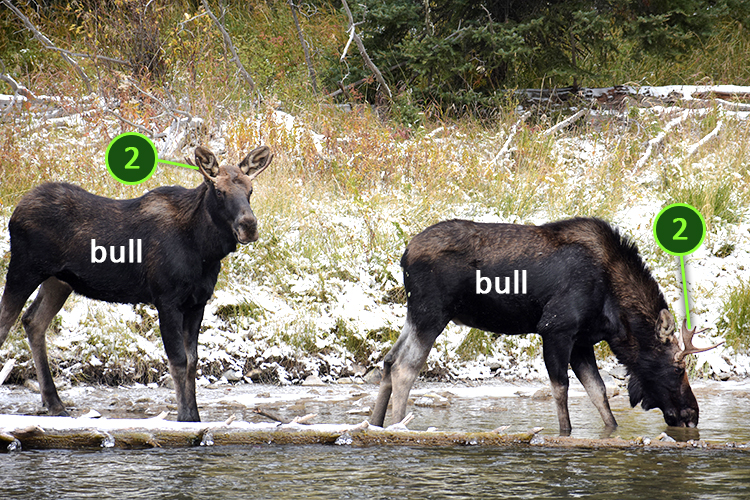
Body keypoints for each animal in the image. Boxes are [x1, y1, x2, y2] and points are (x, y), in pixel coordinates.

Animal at [0, 145, 272, 421]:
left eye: (250, 190)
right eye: (219, 191)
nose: (249, 226)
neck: (204, 250)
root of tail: (15, 211)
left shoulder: (198, 302)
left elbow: (193, 360)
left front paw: (194, 415)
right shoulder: (166, 299)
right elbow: (178, 360)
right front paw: (184, 417)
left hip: (58, 281)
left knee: (33, 321)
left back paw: (54, 402)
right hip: (24, 269)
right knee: (6, 322)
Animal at [370, 218, 721, 434]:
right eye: (678, 368)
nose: (692, 415)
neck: (615, 315)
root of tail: (404, 254)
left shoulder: (582, 341)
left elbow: (599, 393)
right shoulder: (556, 329)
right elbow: (561, 390)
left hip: (414, 314)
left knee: (387, 359)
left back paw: (375, 424)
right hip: (431, 314)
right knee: (405, 367)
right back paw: (399, 427)